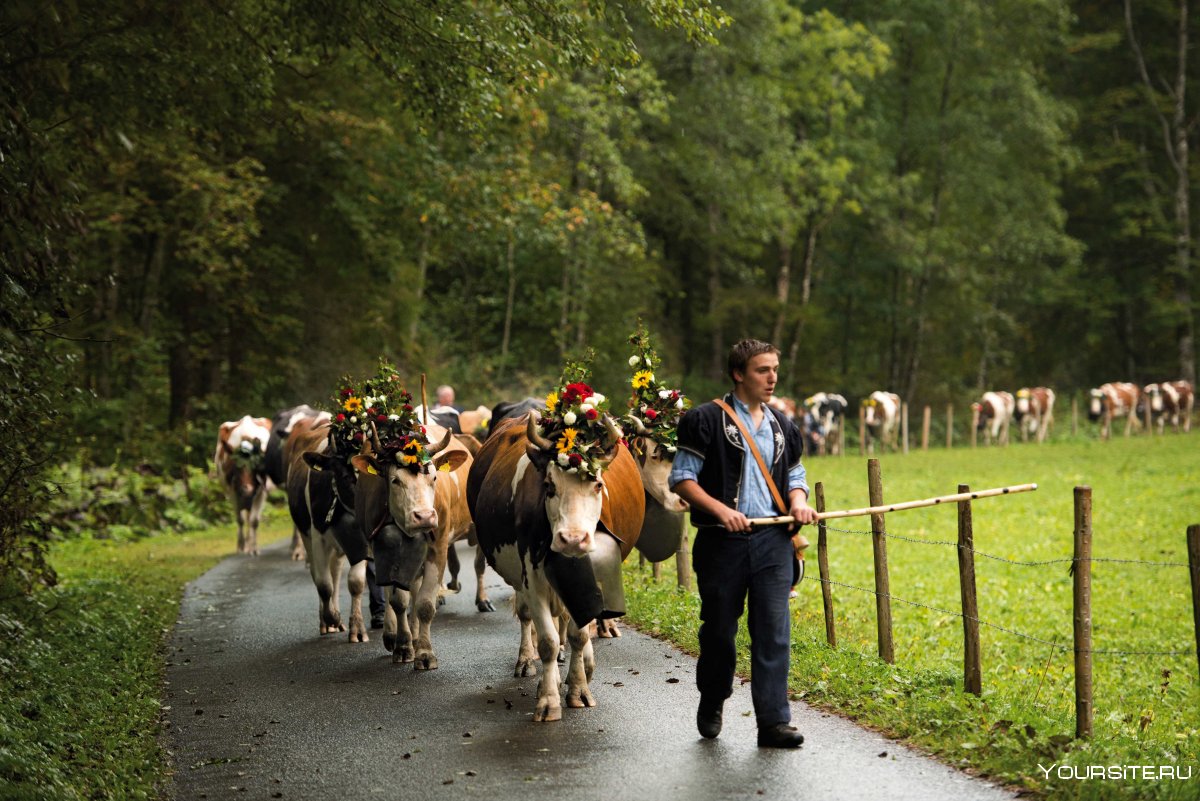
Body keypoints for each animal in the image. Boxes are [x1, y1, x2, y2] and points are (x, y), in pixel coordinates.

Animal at [216, 417, 274, 553]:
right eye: (237, 467)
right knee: (245, 516)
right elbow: (240, 519)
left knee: (250, 517)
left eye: (256, 466)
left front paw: (254, 548)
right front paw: (241, 546)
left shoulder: (262, 492)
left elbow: (254, 521)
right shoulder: (232, 491)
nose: (246, 490)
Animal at [465, 412, 648, 719]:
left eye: (598, 485)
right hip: (519, 579)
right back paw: (527, 660)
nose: (572, 539)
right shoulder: (532, 579)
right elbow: (548, 642)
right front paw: (548, 699)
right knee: (527, 616)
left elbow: (578, 634)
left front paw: (579, 688)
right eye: (549, 486)